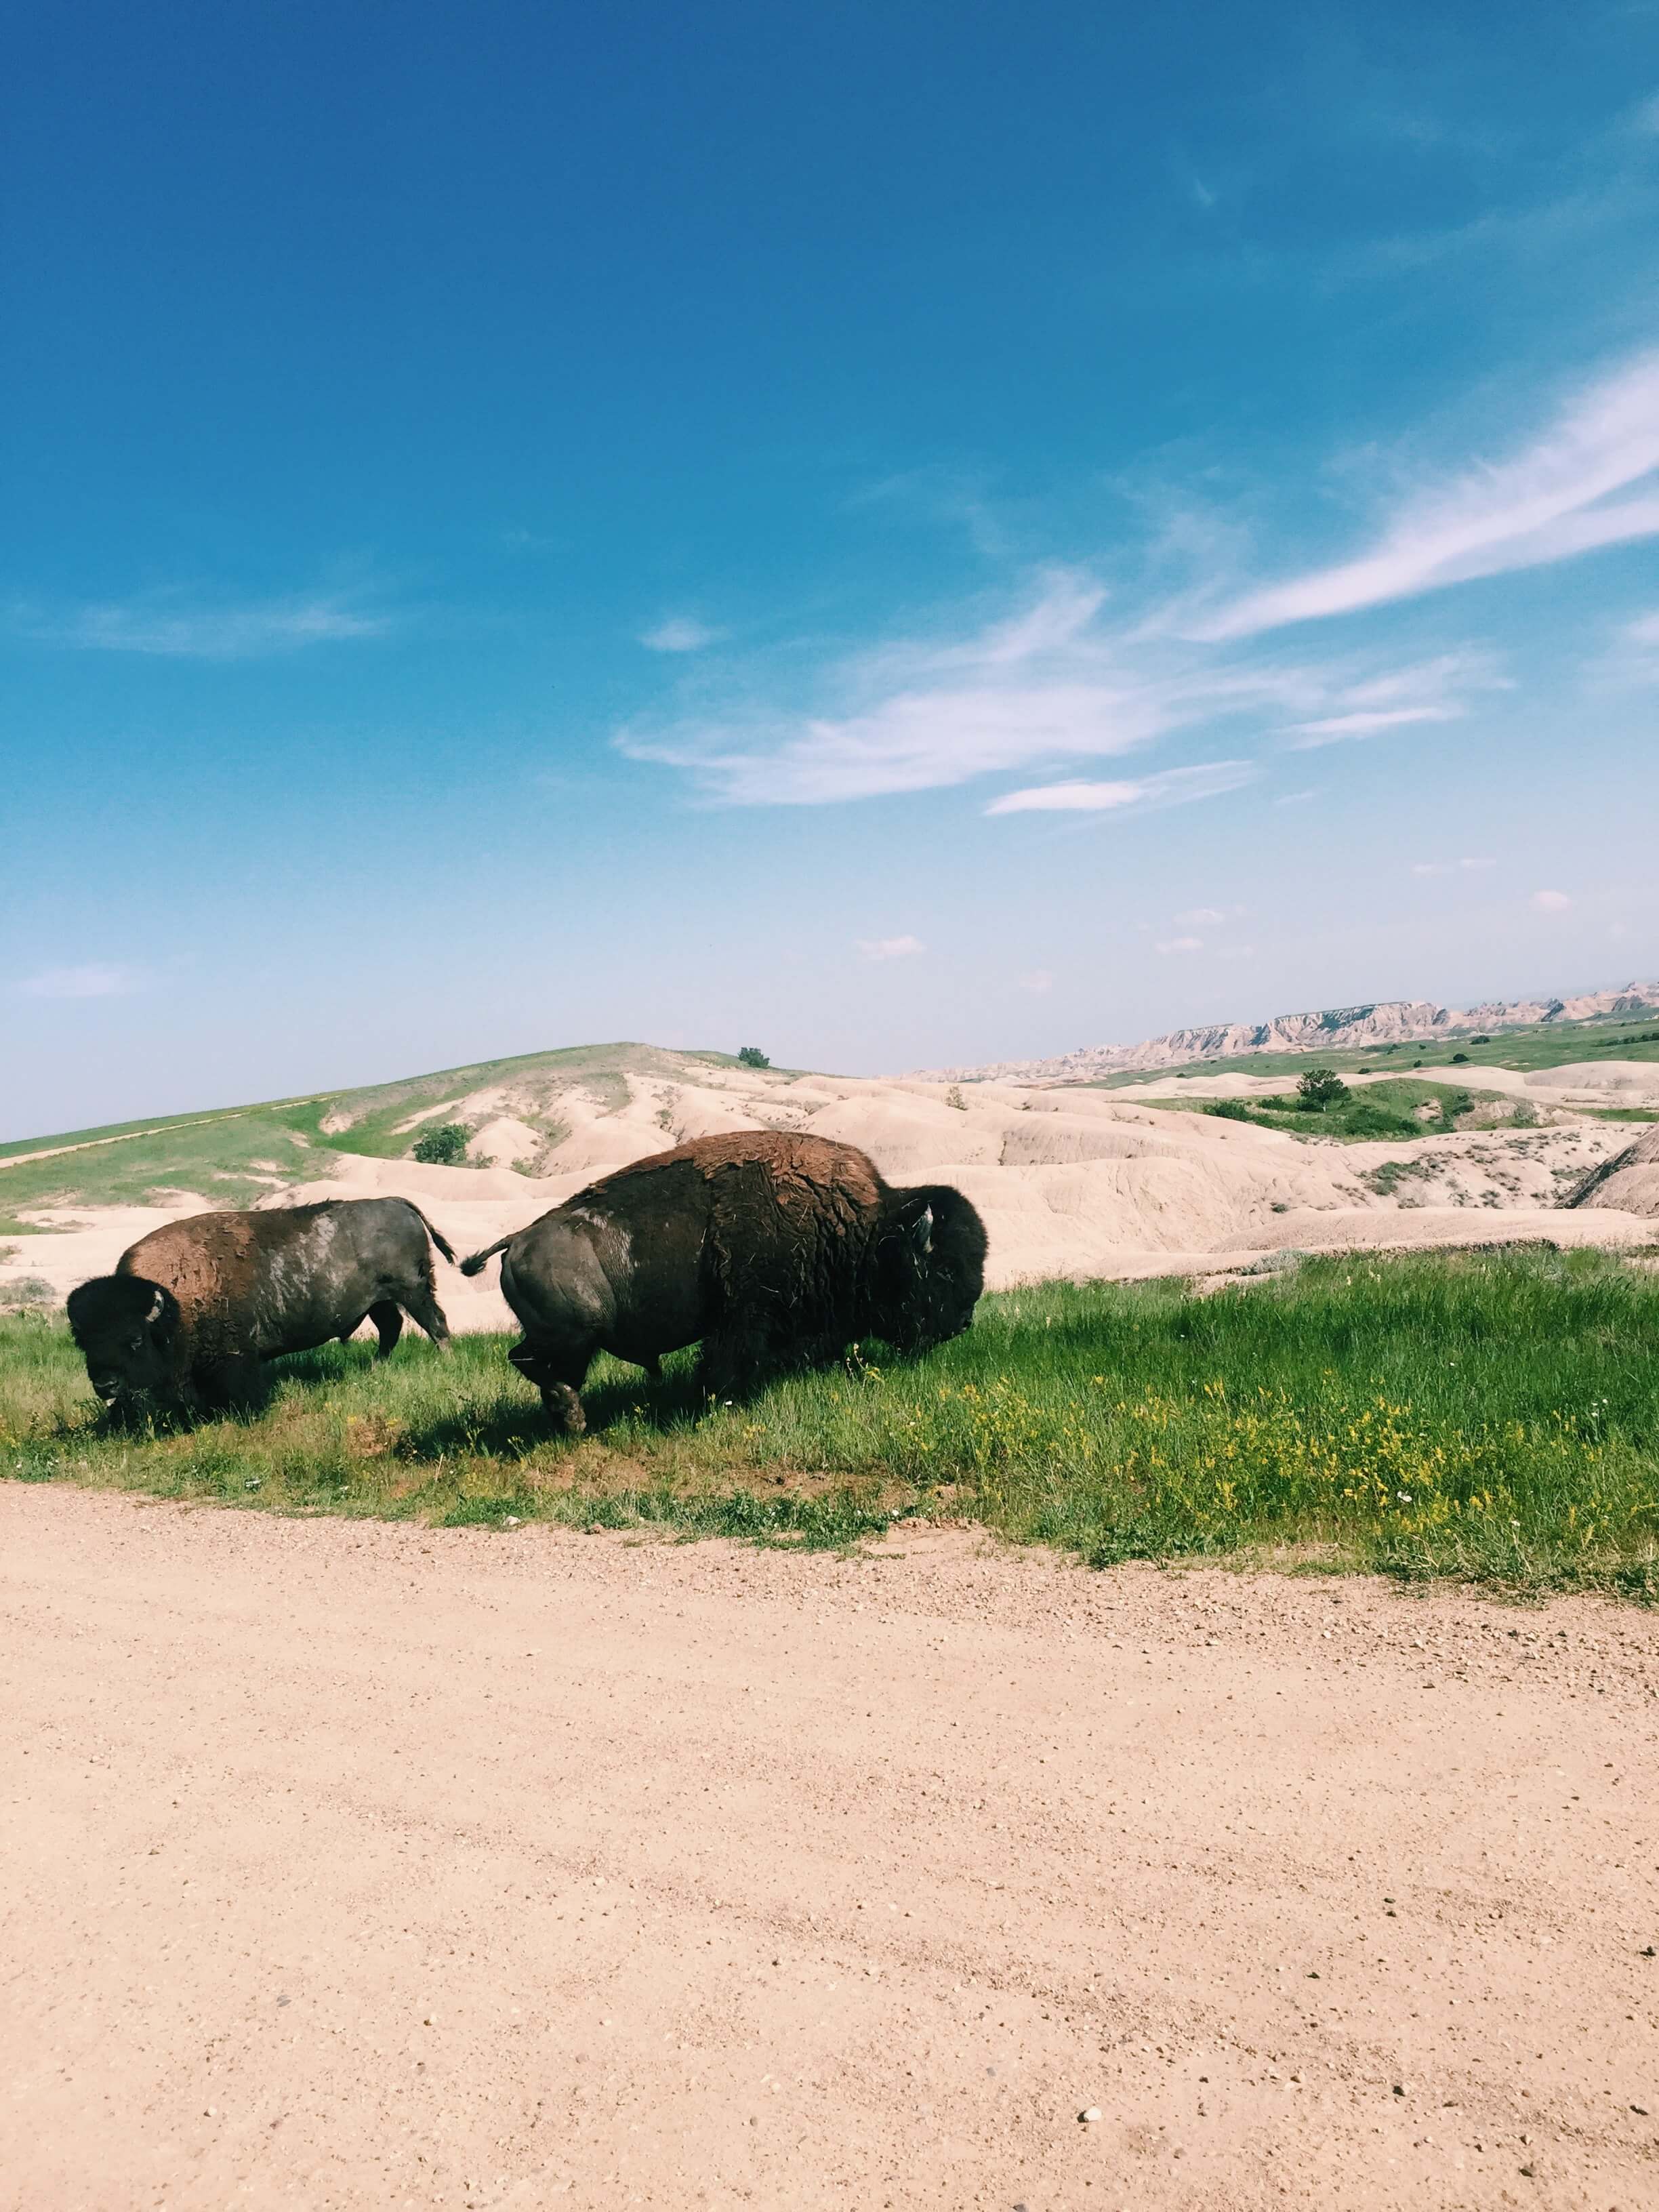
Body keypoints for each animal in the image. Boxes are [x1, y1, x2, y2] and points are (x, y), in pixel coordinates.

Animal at [67, 1196, 455, 1421]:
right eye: (84, 1343)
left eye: (134, 1339)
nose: (106, 1385)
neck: (171, 1305)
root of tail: (396, 1203)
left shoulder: (236, 1358)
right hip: (380, 1300)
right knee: (392, 1328)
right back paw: (377, 1367)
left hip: (412, 1290)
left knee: (435, 1323)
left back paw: (445, 1362)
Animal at [460, 1130, 986, 1433]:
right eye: (943, 1269)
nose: (963, 1323)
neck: (865, 1228)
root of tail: (517, 1239)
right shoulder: (744, 1315)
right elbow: (727, 1361)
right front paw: (720, 1404)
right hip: (573, 1335)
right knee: (535, 1364)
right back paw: (573, 1420)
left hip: (569, 1339)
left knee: (538, 1365)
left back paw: (571, 1422)